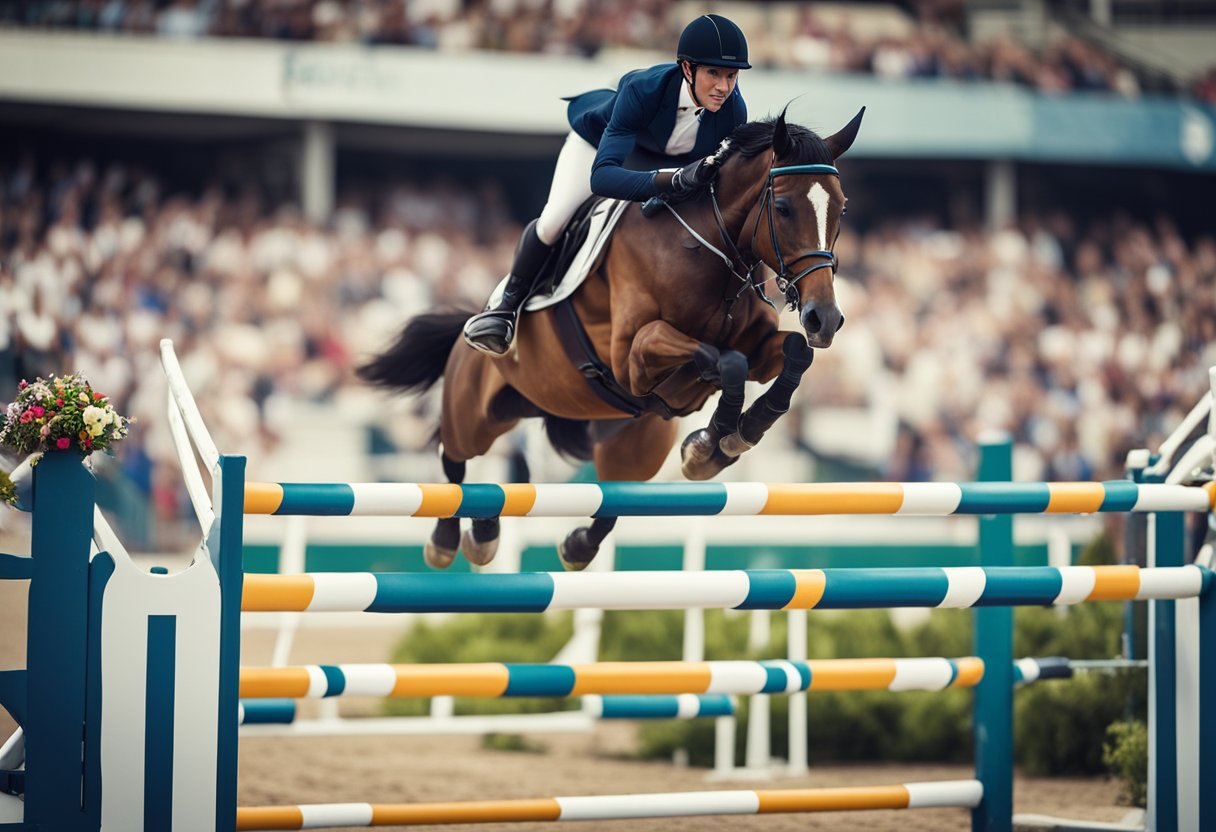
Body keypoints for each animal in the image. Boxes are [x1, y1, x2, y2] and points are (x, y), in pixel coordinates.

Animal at [359, 108, 864, 571]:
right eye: (782, 208)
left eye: (842, 207)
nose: (824, 319)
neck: (709, 249)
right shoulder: (633, 358)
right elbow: (723, 360)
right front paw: (709, 444)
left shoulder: (755, 348)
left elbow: (790, 356)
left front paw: (734, 436)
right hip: (475, 409)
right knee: (455, 458)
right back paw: (450, 539)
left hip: (629, 442)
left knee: (612, 496)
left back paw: (556, 543)